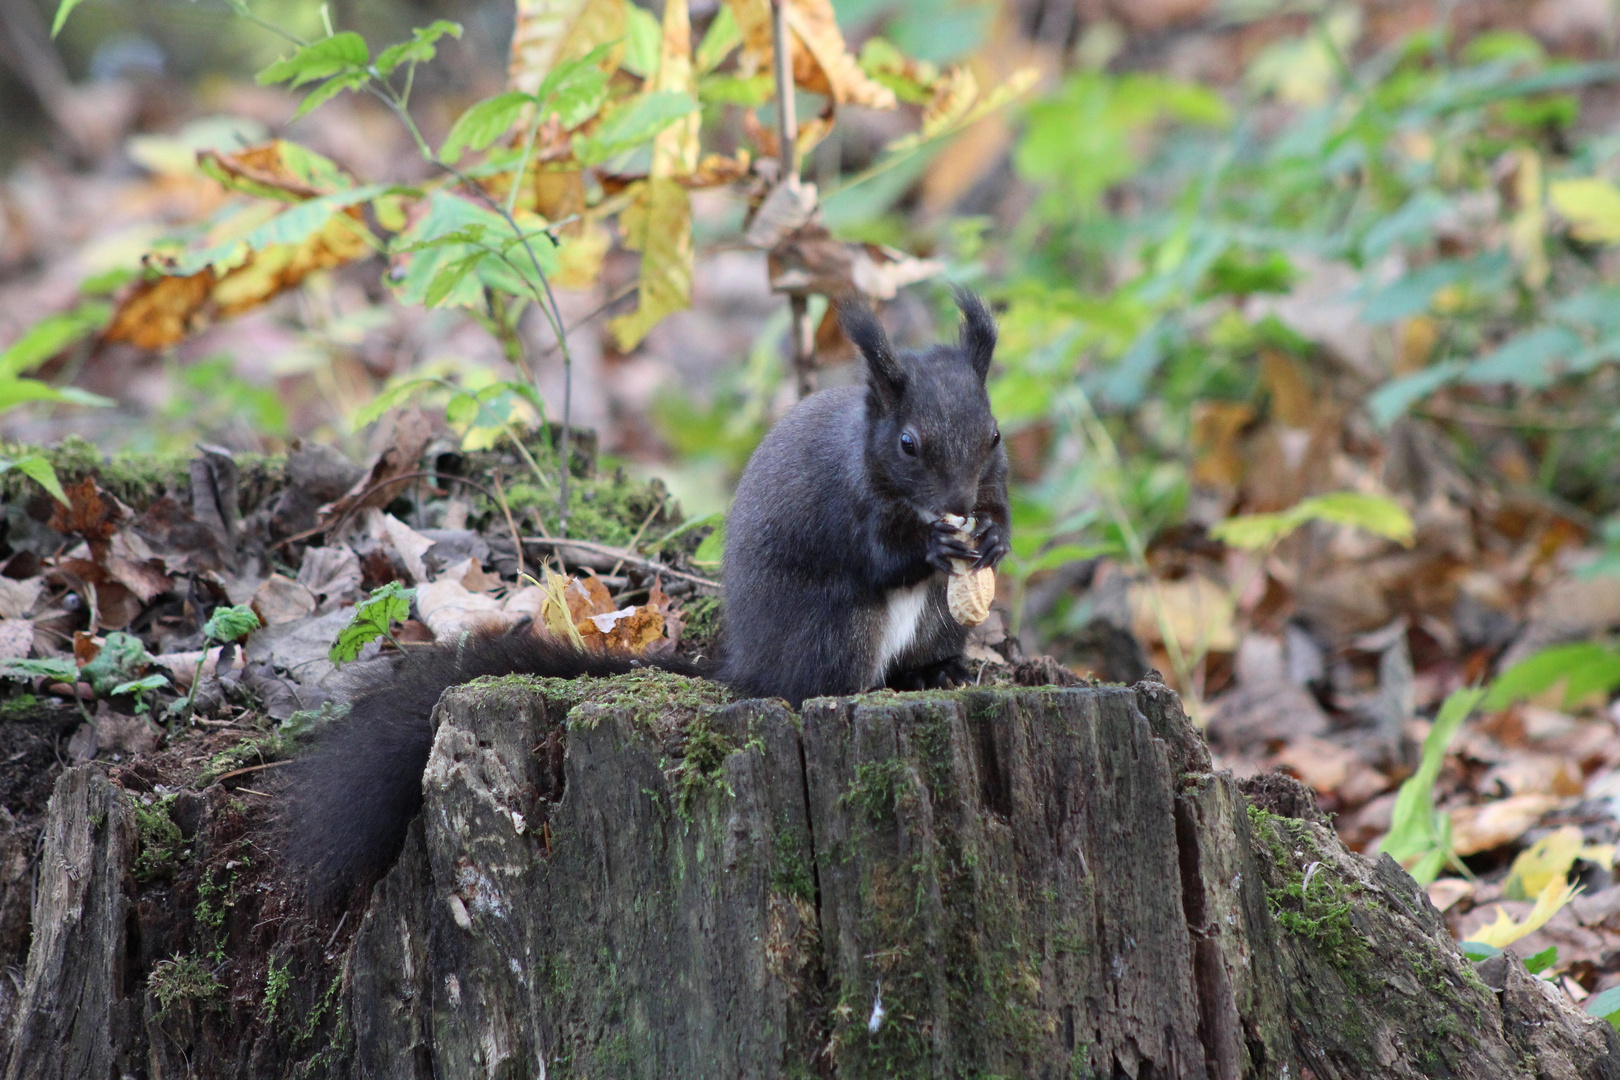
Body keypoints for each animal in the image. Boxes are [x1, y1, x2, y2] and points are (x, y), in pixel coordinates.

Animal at [285, 291, 1004, 900]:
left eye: (995, 435)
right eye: (908, 443)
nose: (958, 502)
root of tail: (747, 666)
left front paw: (994, 537)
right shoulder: (848, 503)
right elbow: (879, 552)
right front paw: (935, 546)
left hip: (936, 623)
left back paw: (939, 671)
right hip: (833, 630)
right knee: (810, 686)